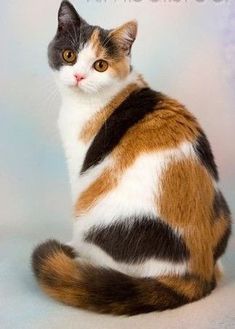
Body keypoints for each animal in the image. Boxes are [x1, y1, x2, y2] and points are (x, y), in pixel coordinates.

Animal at [31, 0, 231, 314]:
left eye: (100, 65)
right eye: (69, 55)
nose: (78, 77)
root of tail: (199, 271)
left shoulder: (81, 168)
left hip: (96, 215)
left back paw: (79, 258)